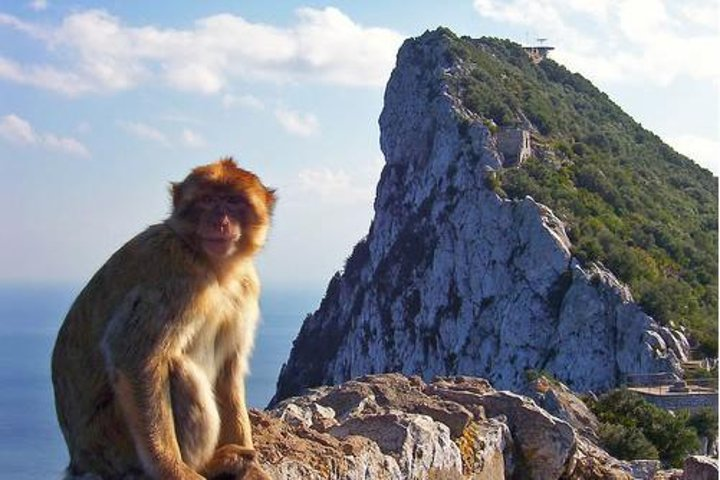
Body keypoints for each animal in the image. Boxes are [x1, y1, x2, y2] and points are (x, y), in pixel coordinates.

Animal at [51, 158, 275, 480]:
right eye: (208, 200)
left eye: (233, 202)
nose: (220, 221)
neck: (213, 267)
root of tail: (79, 460)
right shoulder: (173, 277)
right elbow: (134, 358)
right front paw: (172, 469)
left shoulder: (246, 287)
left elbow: (229, 368)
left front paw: (254, 469)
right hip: (113, 445)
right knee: (176, 369)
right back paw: (208, 464)